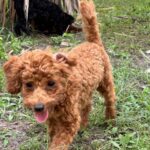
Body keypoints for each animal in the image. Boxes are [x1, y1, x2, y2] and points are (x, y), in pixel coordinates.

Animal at [3, 0, 116, 149]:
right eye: (28, 85)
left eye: (51, 83)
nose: (38, 107)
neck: (60, 96)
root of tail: (93, 42)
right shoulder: (52, 120)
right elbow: (53, 136)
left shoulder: (68, 123)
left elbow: (58, 144)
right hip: (85, 92)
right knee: (87, 105)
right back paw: (83, 126)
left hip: (105, 81)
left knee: (110, 99)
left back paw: (110, 120)